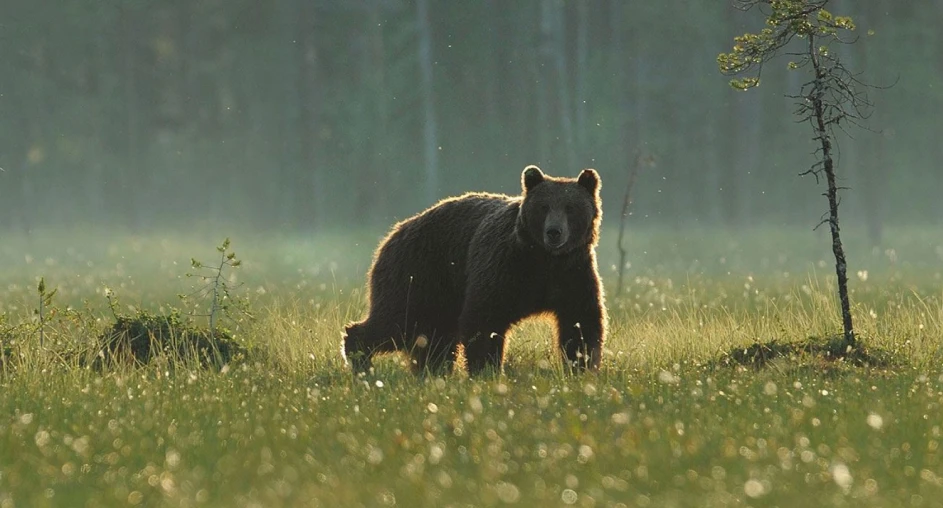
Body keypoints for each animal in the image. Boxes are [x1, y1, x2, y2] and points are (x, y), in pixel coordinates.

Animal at [342, 165, 607, 375]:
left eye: (570, 207)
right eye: (544, 206)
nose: (554, 232)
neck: (543, 259)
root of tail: (392, 234)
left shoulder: (572, 274)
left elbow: (581, 323)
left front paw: (581, 367)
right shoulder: (504, 268)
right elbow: (484, 319)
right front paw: (487, 370)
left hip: (441, 295)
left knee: (433, 340)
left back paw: (432, 373)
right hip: (418, 276)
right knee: (396, 321)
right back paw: (361, 362)